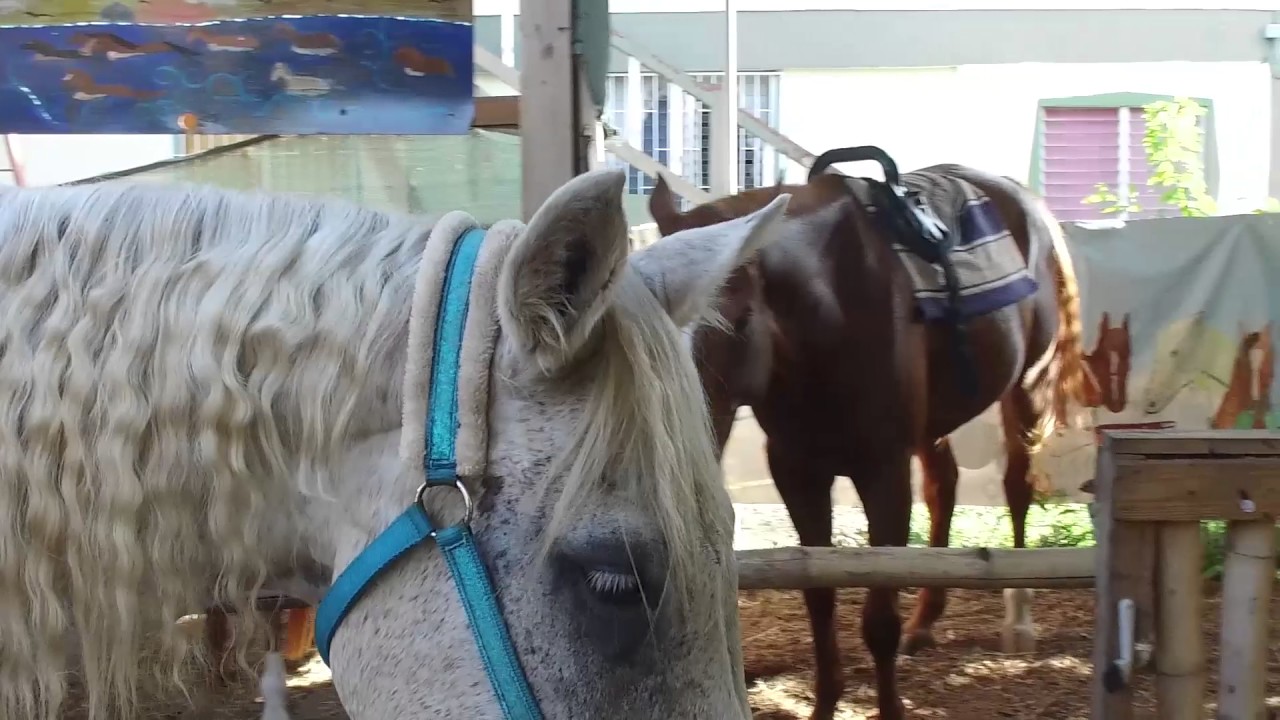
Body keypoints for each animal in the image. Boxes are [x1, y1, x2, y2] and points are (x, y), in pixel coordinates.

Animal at [648, 153, 1089, 720]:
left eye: (740, 315)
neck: (829, 319)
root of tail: (1026, 202)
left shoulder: (883, 475)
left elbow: (879, 613)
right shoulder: (799, 473)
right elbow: (818, 594)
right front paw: (823, 706)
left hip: (1027, 387)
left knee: (1016, 486)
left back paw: (1019, 617)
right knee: (944, 487)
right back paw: (926, 621)